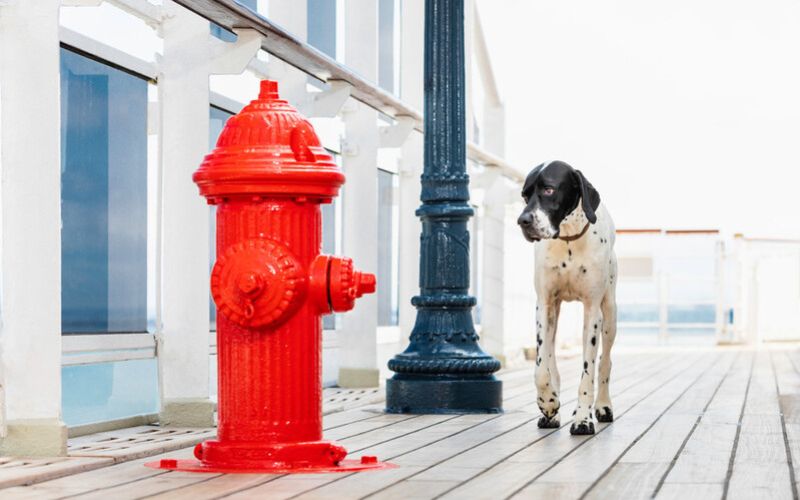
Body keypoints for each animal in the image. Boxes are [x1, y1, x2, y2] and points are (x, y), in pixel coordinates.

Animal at [520, 160, 620, 434]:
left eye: (549, 190)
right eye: (525, 196)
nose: (523, 220)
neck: (568, 239)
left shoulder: (592, 312)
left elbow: (588, 371)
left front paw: (583, 419)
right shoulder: (543, 306)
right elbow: (541, 368)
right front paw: (548, 403)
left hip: (610, 315)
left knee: (605, 363)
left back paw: (602, 406)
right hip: (554, 314)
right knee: (551, 359)